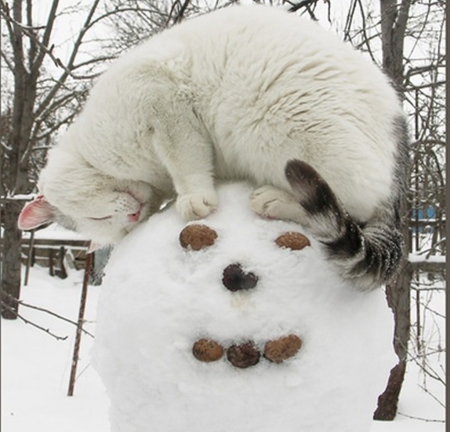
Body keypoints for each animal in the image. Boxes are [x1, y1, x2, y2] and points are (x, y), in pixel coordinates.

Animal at [19, 5, 410, 290]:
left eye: (98, 218)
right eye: (115, 227)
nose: (130, 217)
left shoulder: (165, 102)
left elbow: (186, 159)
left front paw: (194, 199)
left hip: (286, 128)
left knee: (350, 204)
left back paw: (272, 199)